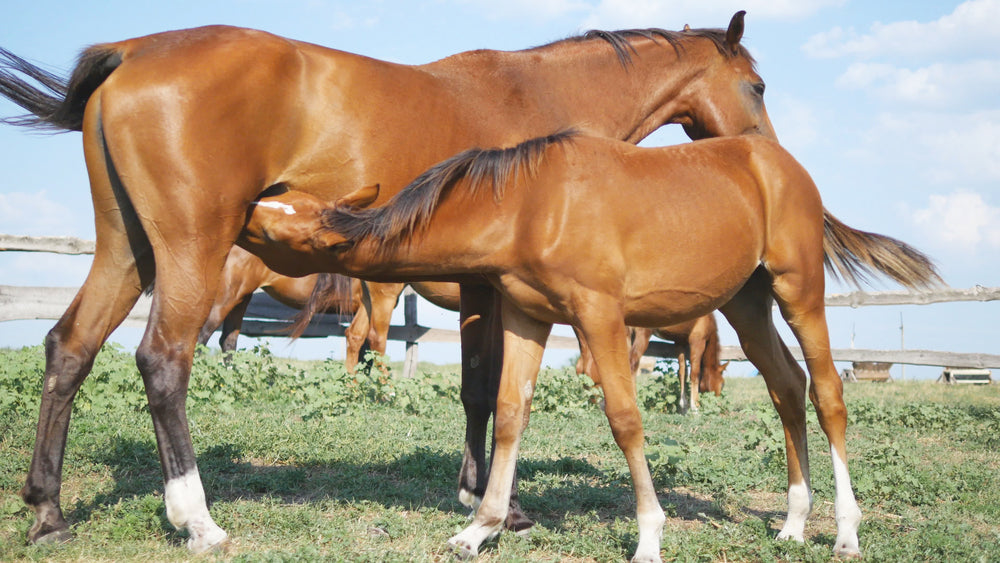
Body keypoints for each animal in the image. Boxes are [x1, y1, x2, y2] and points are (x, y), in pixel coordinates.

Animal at [576, 314, 728, 412]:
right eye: (722, 383)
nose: (718, 402)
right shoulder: (697, 341)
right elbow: (694, 374)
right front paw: (695, 407)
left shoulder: (680, 343)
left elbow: (682, 372)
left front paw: (683, 404)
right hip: (641, 336)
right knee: (632, 363)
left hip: (626, 336)